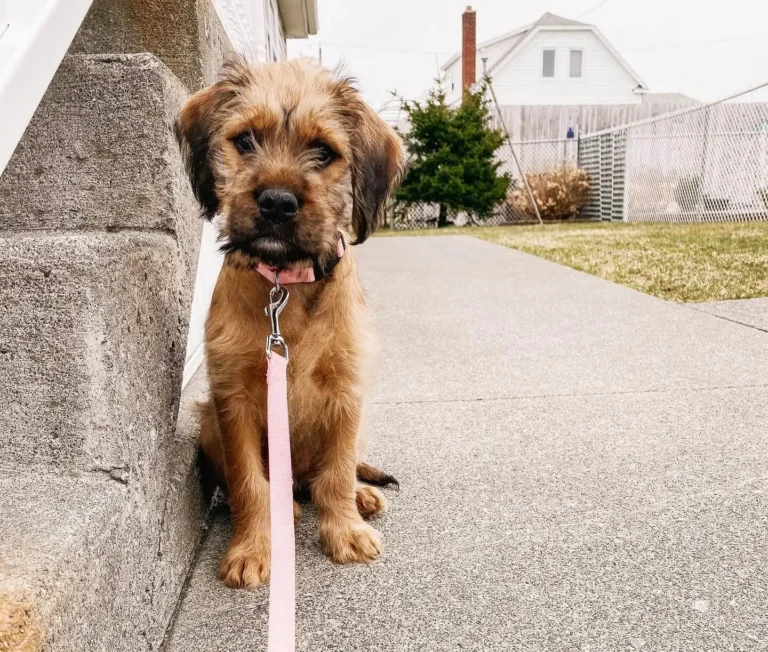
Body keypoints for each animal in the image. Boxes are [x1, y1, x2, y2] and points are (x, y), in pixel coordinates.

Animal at [173, 58, 402, 588]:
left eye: (323, 150)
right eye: (244, 140)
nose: (277, 202)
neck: (286, 287)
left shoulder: (347, 391)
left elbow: (336, 472)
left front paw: (345, 532)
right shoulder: (233, 400)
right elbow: (248, 483)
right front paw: (252, 549)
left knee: (328, 474)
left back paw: (361, 494)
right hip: (208, 423)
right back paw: (290, 510)